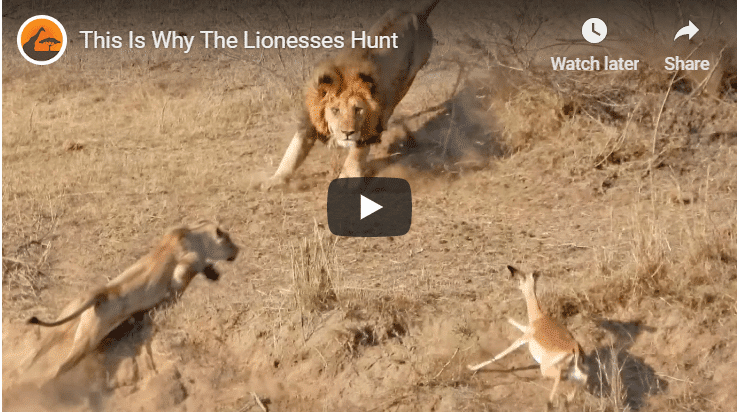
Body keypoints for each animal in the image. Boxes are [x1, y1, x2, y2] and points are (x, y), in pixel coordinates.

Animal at [25, 220, 239, 379]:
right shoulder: (183, 267)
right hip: (88, 339)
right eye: (229, 240)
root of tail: (98, 294)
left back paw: (22, 372)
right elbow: (189, 270)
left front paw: (213, 272)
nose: (238, 250)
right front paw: (211, 274)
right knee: (58, 368)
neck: (196, 236)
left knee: (35, 352)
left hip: (64, 326)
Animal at [264, 0, 441, 188]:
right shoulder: (310, 120)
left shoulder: (370, 127)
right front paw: (276, 179)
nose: (347, 133)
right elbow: (294, 151)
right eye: (335, 110)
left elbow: (356, 153)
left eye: (358, 110)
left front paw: (347, 178)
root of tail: (416, 13)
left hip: (410, 76)